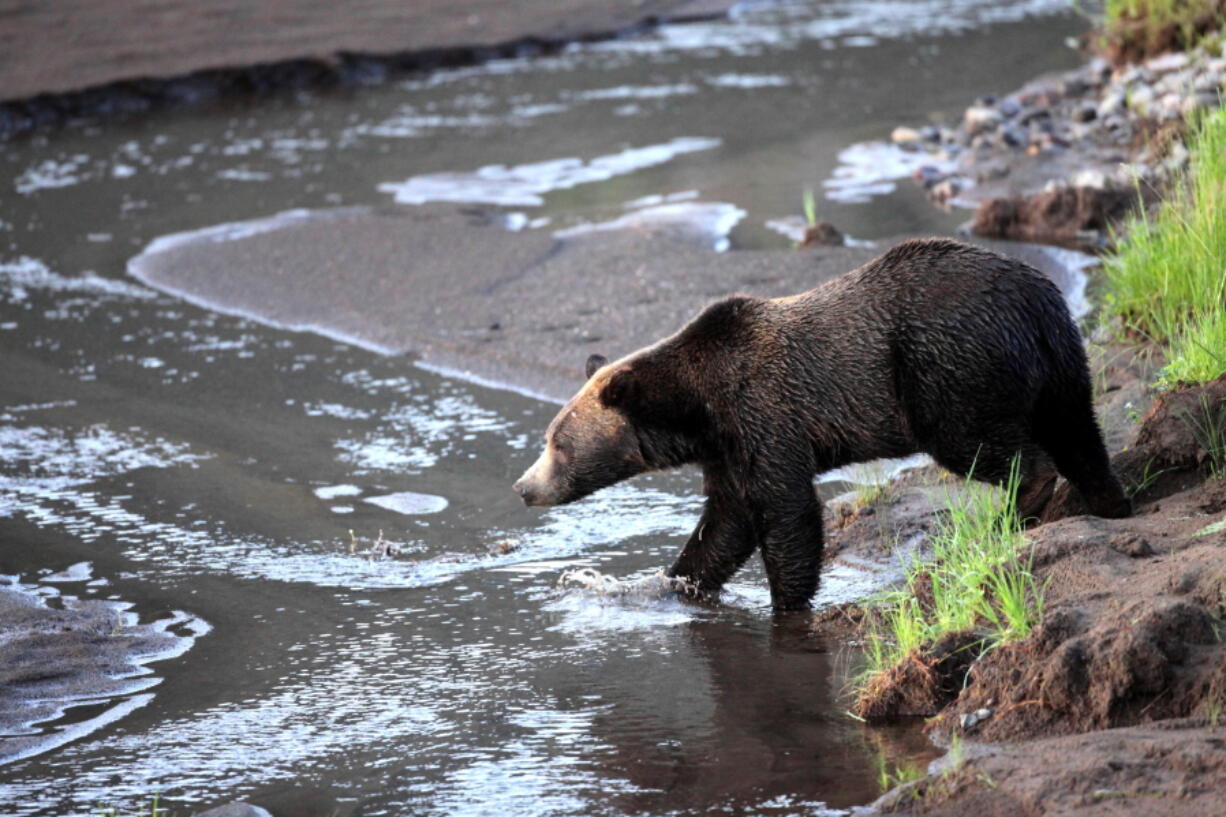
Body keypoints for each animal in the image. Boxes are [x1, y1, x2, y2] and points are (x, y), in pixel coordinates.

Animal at [510, 239, 1127, 608]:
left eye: (557, 443)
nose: (522, 486)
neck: (697, 408)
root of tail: (1036, 297)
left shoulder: (763, 411)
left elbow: (787, 513)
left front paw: (786, 601)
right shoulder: (729, 448)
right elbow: (726, 524)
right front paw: (673, 583)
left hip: (948, 364)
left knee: (980, 442)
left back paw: (1018, 508)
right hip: (1059, 361)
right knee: (1079, 431)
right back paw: (1109, 501)